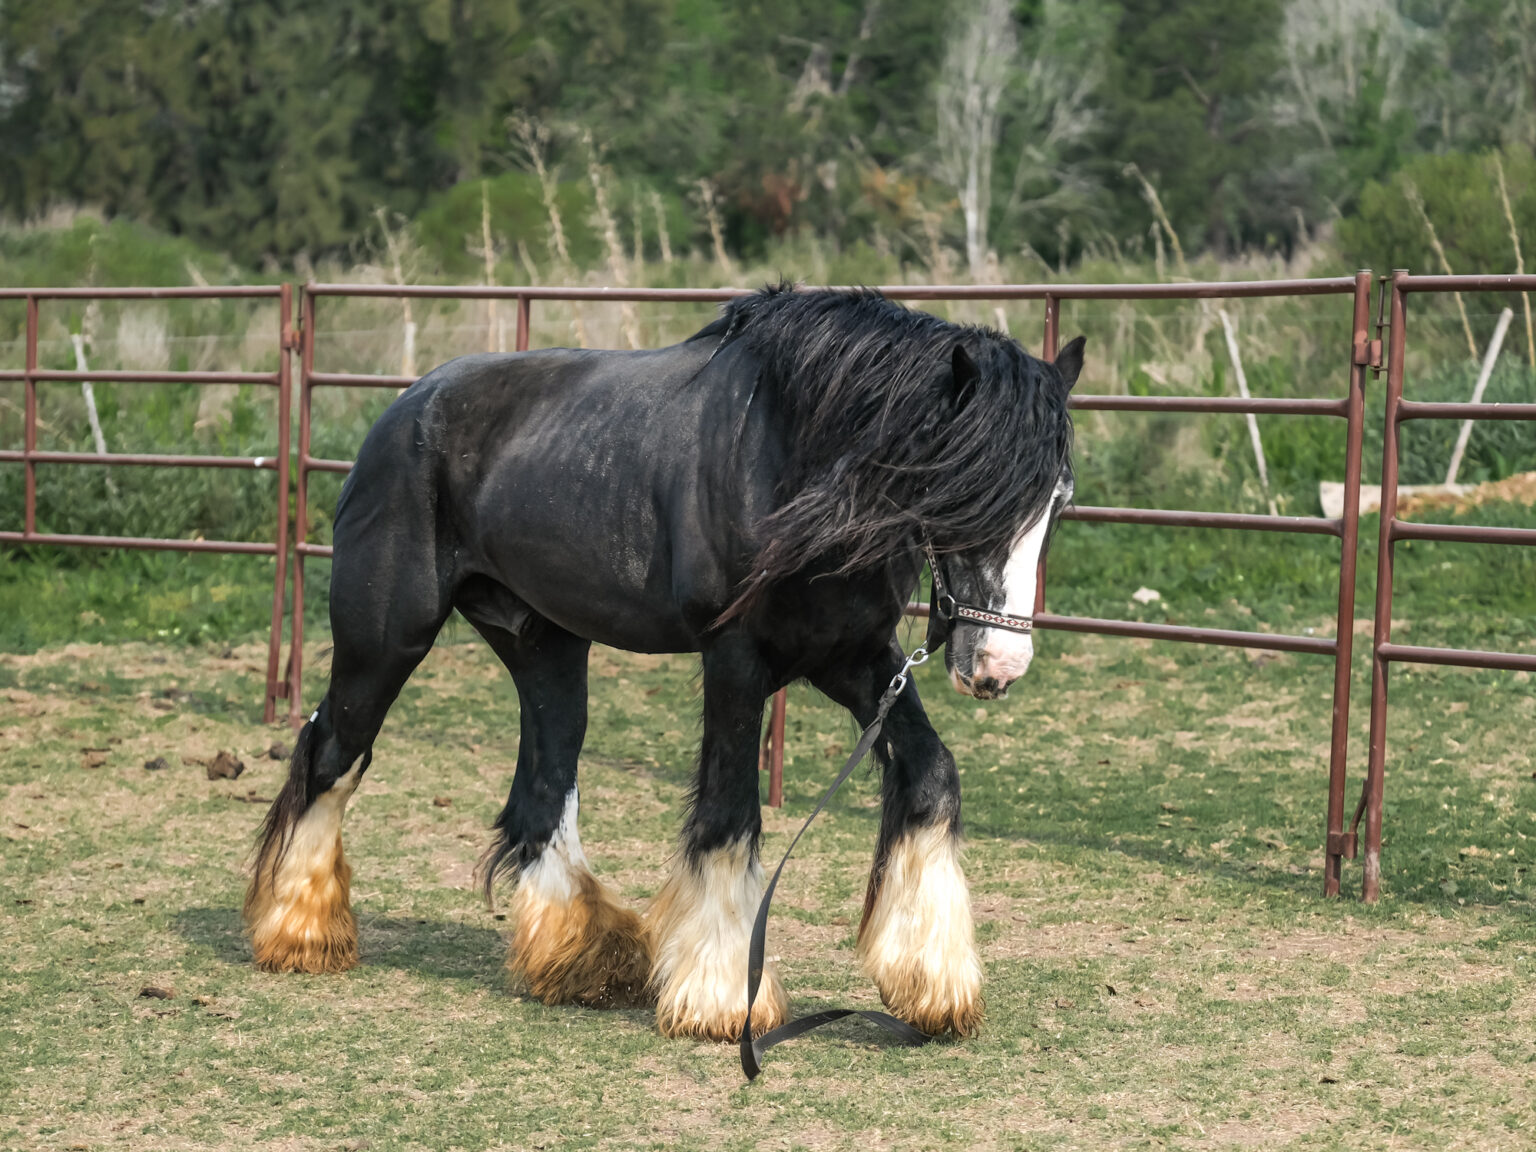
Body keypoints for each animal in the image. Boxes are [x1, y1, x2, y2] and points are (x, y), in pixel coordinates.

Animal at [245, 284, 1082, 1042]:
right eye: (962, 494)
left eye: (1057, 499)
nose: (999, 665)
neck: (791, 458)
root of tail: (406, 408)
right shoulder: (736, 662)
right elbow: (729, 816)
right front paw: (722, 999)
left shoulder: (855, 659)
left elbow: (931, 774)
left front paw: (931, 983)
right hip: (385, 639)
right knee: (333, 751)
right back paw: (299, 931)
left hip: (544, 645)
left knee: (544, 790)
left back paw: (578, 957)